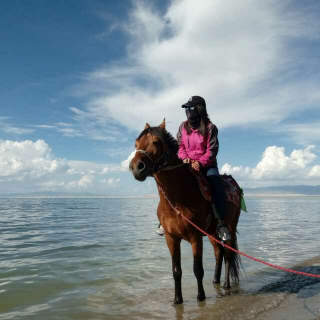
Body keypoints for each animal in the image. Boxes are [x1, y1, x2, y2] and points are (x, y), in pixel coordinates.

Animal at [129, 119, 241, 304]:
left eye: (156, 142)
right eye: (136, 143)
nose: (136, 167)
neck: (178, 200)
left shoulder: (196, 237)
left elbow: (198, 269)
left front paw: (201, 297)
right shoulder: (171, 238)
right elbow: (176, 271)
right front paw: (177, 300)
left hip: (230, 228)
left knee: (228, 255)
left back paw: (225, 284)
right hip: (212, 233)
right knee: (219, 253)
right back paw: (216, 281)